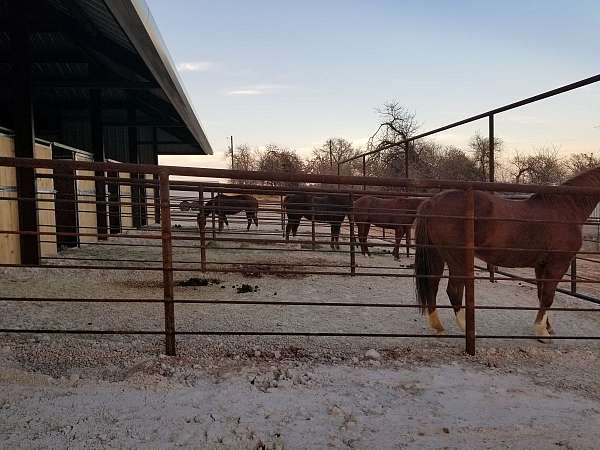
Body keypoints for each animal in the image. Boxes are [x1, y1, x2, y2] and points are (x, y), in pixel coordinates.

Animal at [414, 168, 600, 338]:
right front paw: (542, 332)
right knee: (453, 290)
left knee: (432, 284)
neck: (566, 208)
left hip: (437, 255)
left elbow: (541, 294)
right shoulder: (558, 264)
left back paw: (438, 326)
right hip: (457, 258)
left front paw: (547, 327)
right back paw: (468, 329)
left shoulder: (541, 265)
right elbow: (548, 296)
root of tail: (431, 202)